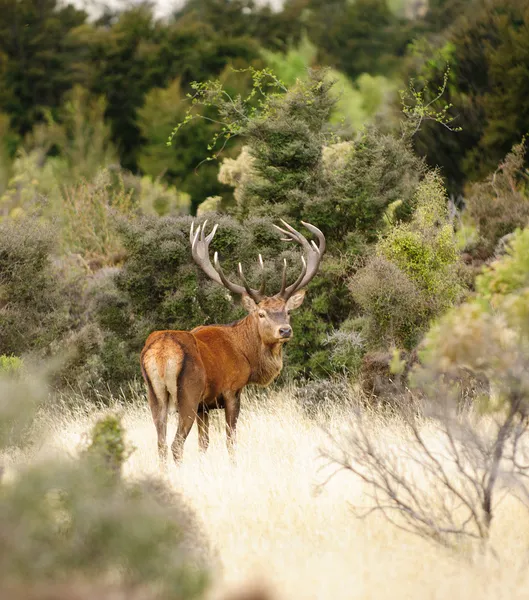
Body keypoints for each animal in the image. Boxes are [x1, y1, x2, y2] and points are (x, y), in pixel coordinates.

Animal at [138, 220, 324, 464]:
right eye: (261, 314)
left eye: (287, 312)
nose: (285, 330)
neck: (246, 354)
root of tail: (161, 352)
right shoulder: (231, 390)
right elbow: (230, 440)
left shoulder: (204, 406)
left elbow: (204, 444)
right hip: (188, 393)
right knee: (176, 445)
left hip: (154, 395)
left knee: (160, 444)